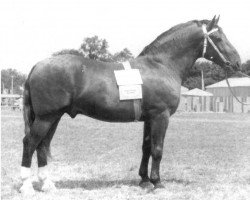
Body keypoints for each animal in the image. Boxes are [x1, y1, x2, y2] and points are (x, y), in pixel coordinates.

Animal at [19, 16, 240, 195]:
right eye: (218, 38)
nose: (237, 62)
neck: (162, 65)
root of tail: (37, 66)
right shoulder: (161, 116)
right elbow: (157, 149)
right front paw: (157, 183)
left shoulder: (149, 118)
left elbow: (146, 147)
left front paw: (144, 180)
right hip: (46, 117)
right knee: (30, 143)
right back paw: (26, 186)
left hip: (53, 117)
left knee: (42, 145)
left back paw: (47, 184)